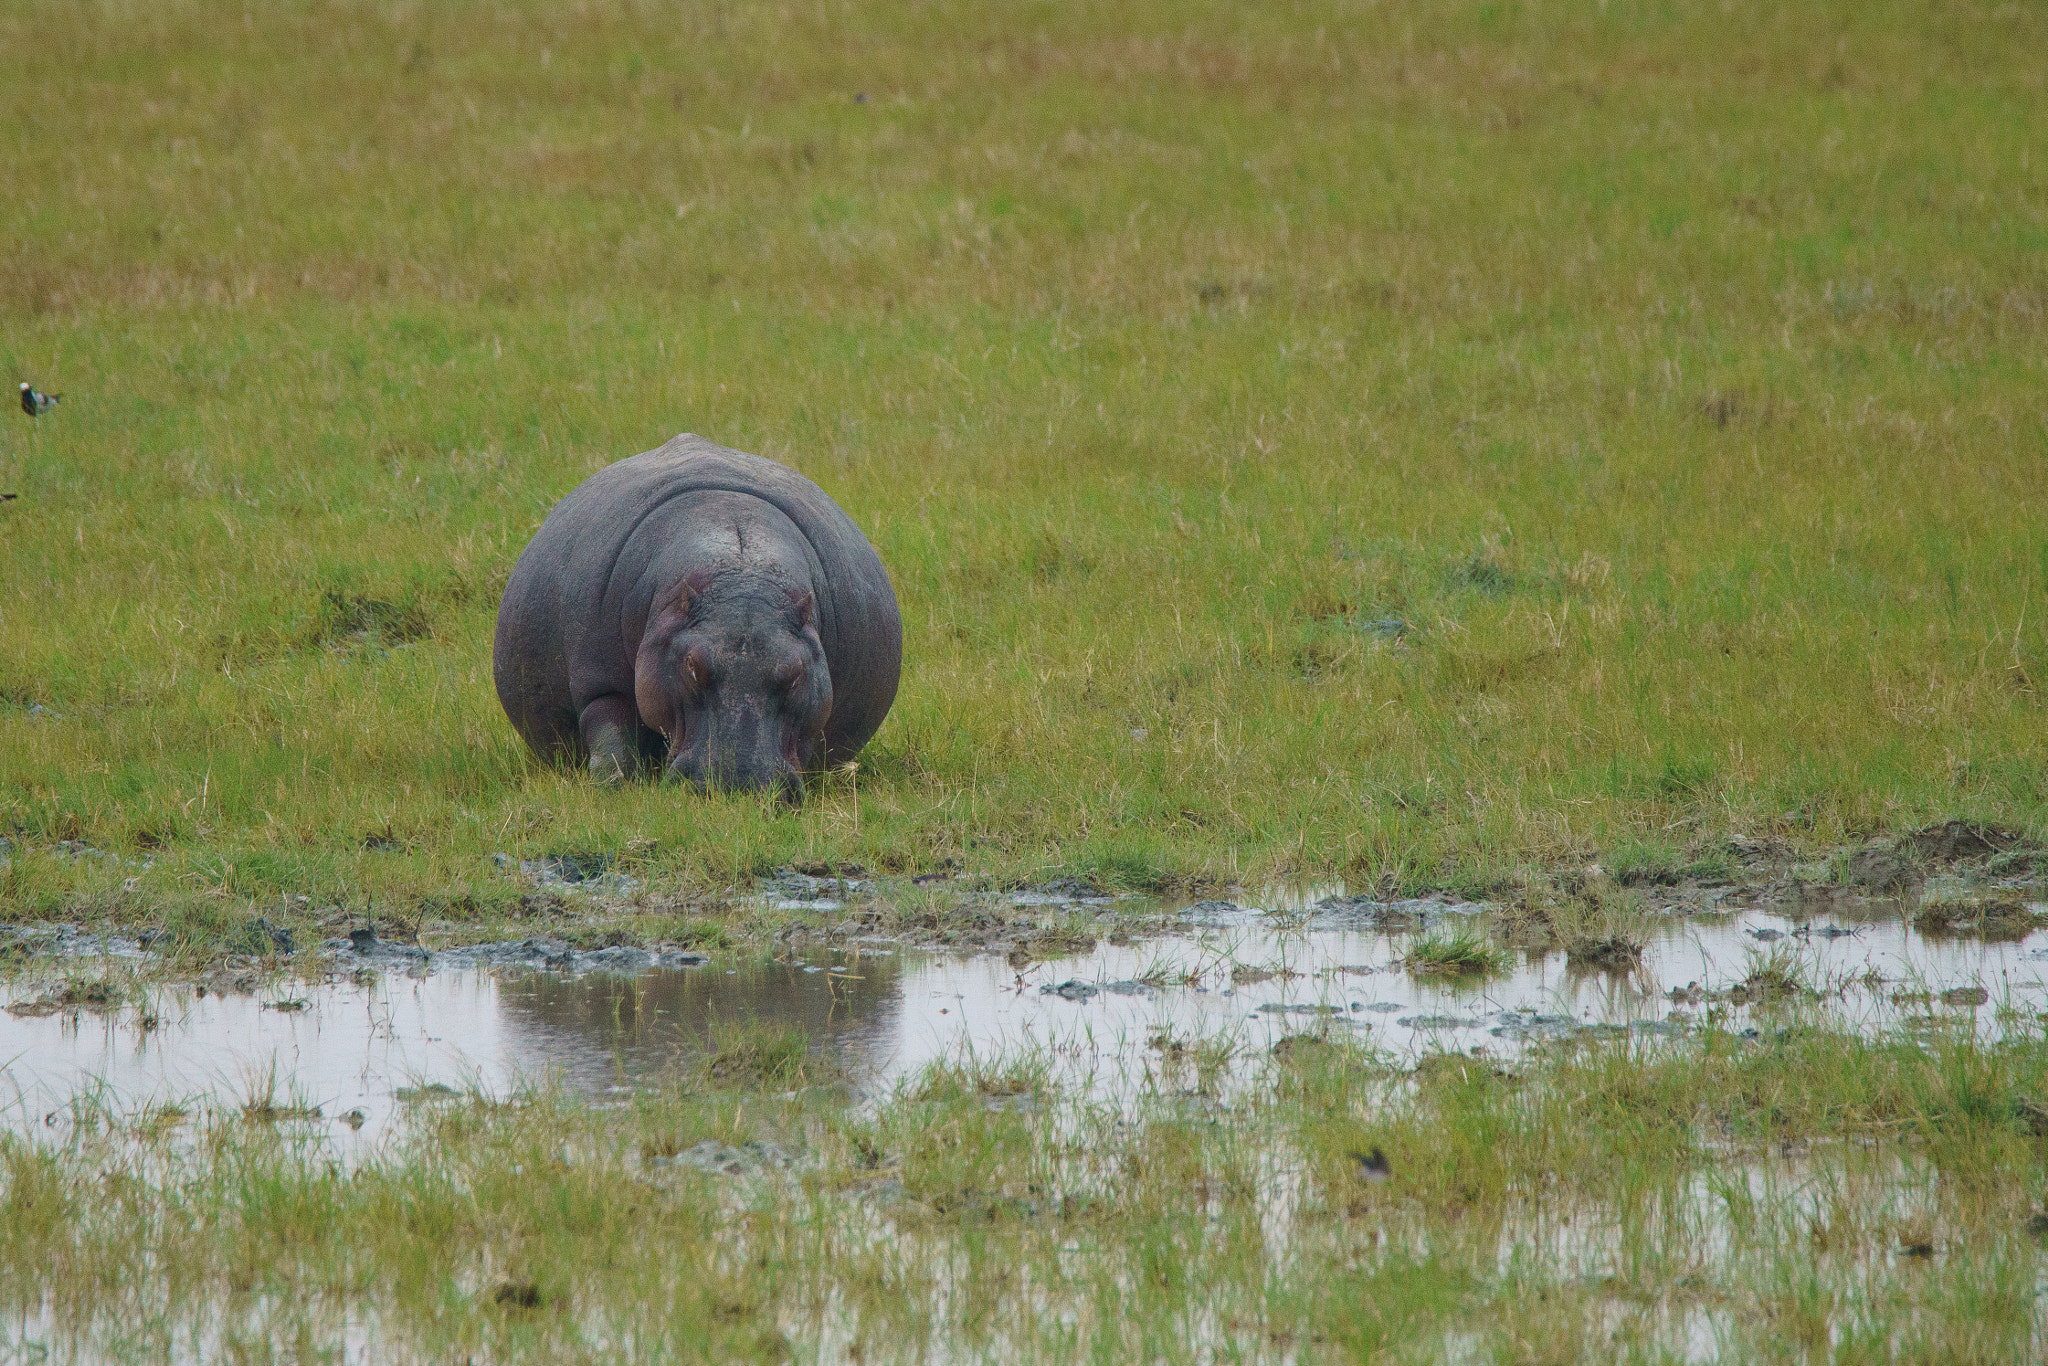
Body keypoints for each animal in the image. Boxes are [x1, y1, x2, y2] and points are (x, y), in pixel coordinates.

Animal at [491, 436, 901, 802]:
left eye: (796, 673)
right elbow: (612, 734)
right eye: (692, 666)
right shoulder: (601, 681)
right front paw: (612, 791)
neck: (740, 568)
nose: (738, 786)